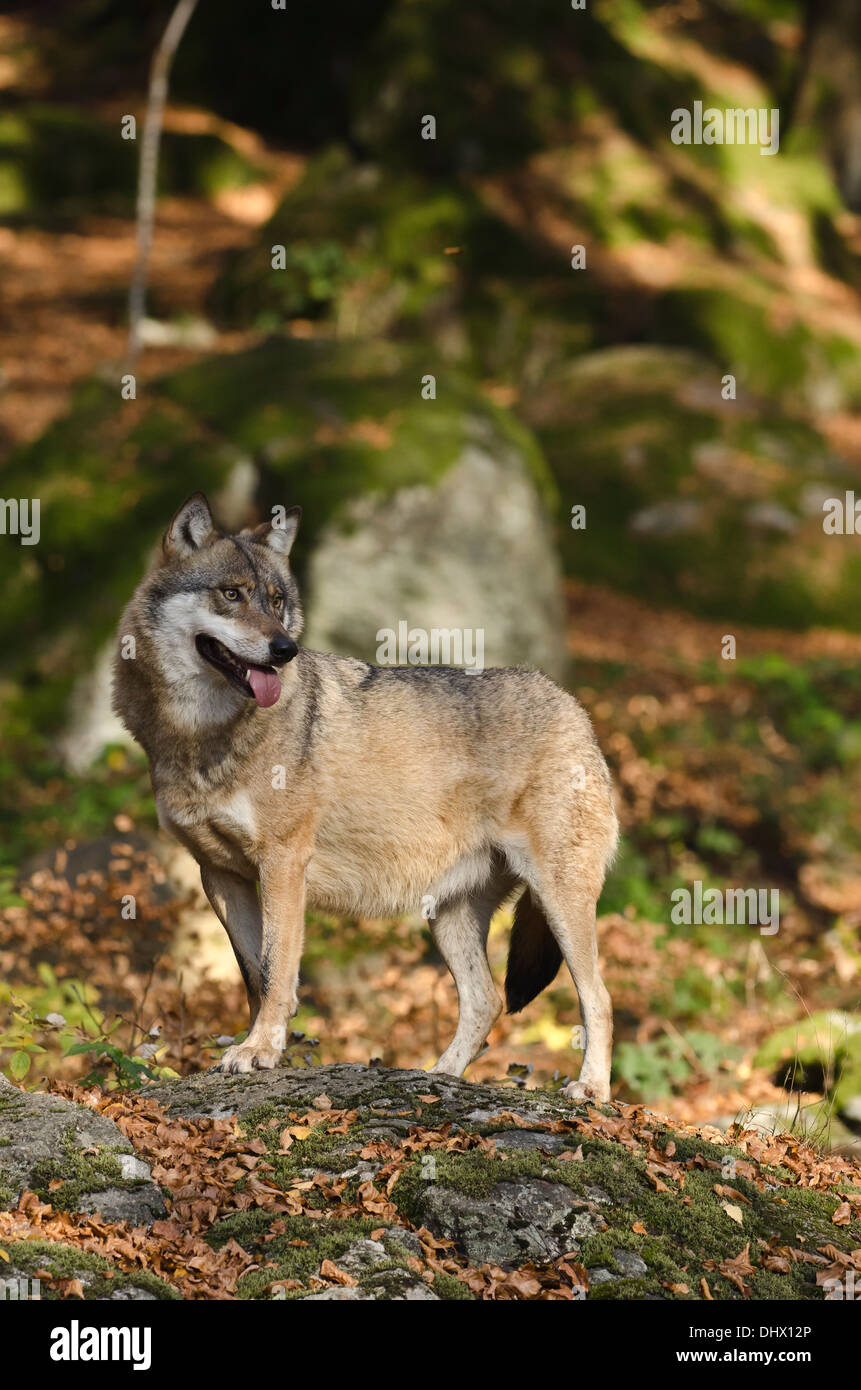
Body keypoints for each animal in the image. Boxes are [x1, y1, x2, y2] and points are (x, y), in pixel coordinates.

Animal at [114, 492, 620, 1095]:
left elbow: (277, 970)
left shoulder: (283, 864)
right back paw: (437, 1078)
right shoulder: (219, 876)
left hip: (559, 901)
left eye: (277, 601)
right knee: (486, 1001)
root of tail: (576, 708)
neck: (202, 736)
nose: (285, 649)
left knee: (599, 999)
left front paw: (259, 1050)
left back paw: (590, 1091)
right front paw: (261, 1050)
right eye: (231, 594)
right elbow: (255, 975)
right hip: (449, 915)